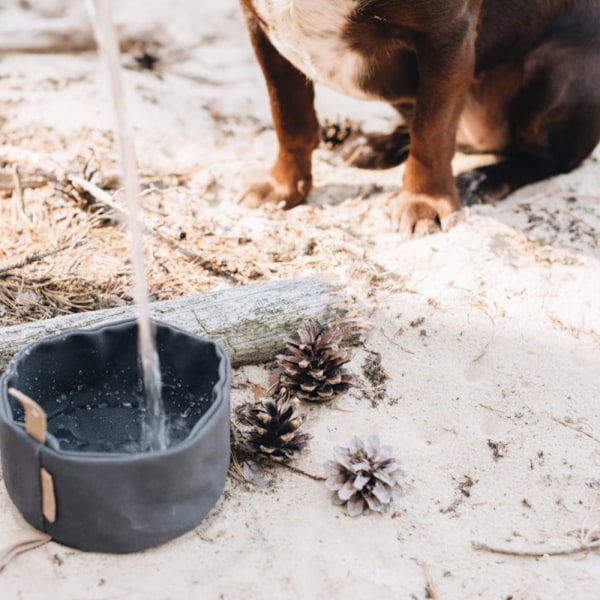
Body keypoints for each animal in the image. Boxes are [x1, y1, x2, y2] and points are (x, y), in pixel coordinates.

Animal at [238, 0, 600, 234]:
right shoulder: (262, 30)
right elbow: (289, 119)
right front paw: (283, 187)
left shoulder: (447, 37)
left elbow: (432, 134)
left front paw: (424, 202)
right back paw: (372, 147)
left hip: (555, 66)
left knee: (550, 160)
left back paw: (483, 178)